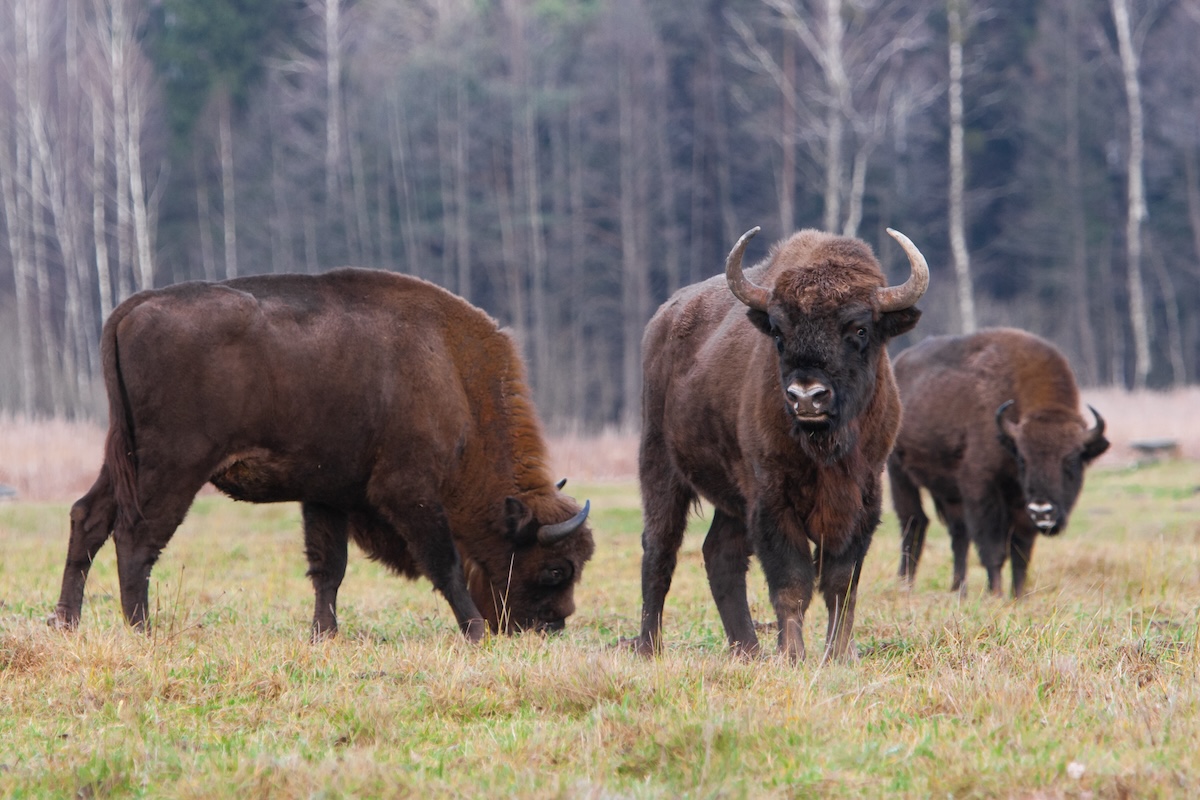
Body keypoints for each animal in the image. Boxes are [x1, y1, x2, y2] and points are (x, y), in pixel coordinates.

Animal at [52, 268, 595, 642]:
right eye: (555, 569)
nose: (553, 626)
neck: (451, 375)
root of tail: (134, 307)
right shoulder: (410, 492)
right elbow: (445, 564)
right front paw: (476, 630)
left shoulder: (327, 495)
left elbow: (328, 568)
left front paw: (324, 634)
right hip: (174, 465)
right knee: (136, 537)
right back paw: (142, 630)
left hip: (125, 459)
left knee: (88, 517)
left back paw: (67, 623)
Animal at [633, 226, 931, 662]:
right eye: (778, 331)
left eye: (859, 329)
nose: (806, 397)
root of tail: (662, 319)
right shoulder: (772, 497)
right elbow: (792, 581)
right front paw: (793, 655)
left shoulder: (863, 498)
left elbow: (841, 584)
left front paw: (839, 654)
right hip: (660, 467)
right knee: (660, 551)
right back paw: (649, 648)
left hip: (732, 497)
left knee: (719, 554)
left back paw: (747, 650)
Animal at [888, 328, 1108, 597]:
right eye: (1023, 459)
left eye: (1072, 460)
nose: (1042, 511)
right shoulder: (981, 488)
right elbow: (993, 548)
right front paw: (996, 595)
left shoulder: (1020, 504)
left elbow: (1021, 551)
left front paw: (1019, 596)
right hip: (899, 473)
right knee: (914, 523)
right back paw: (905, 586)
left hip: (949, 491)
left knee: (958, 533)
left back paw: (958, 590)